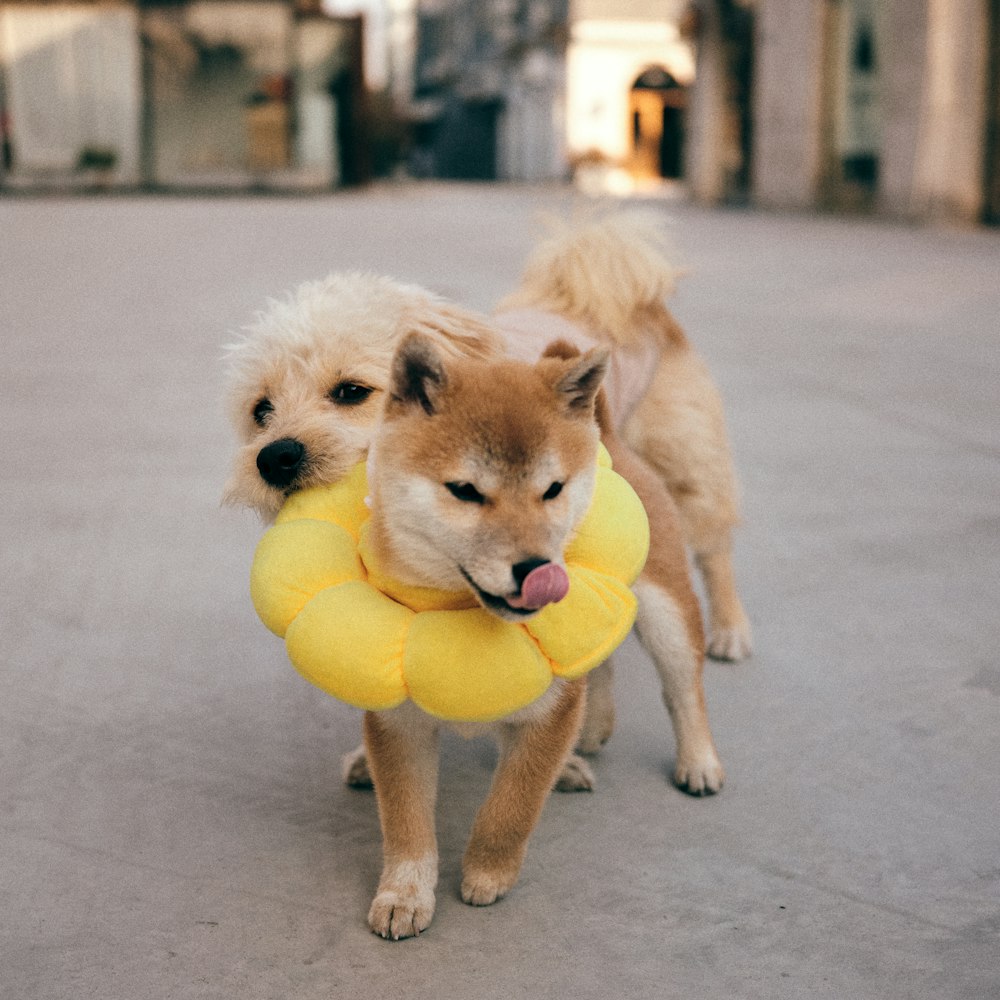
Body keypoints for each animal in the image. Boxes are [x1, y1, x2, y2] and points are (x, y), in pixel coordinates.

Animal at [360, 336, 608, 936]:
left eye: (552, 490)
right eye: (466, 491)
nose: (537, 569)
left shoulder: (552, 711)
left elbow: (512, 807)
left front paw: (488, 873)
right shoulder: (398, 725)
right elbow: (404, 823)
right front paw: (404, 893)